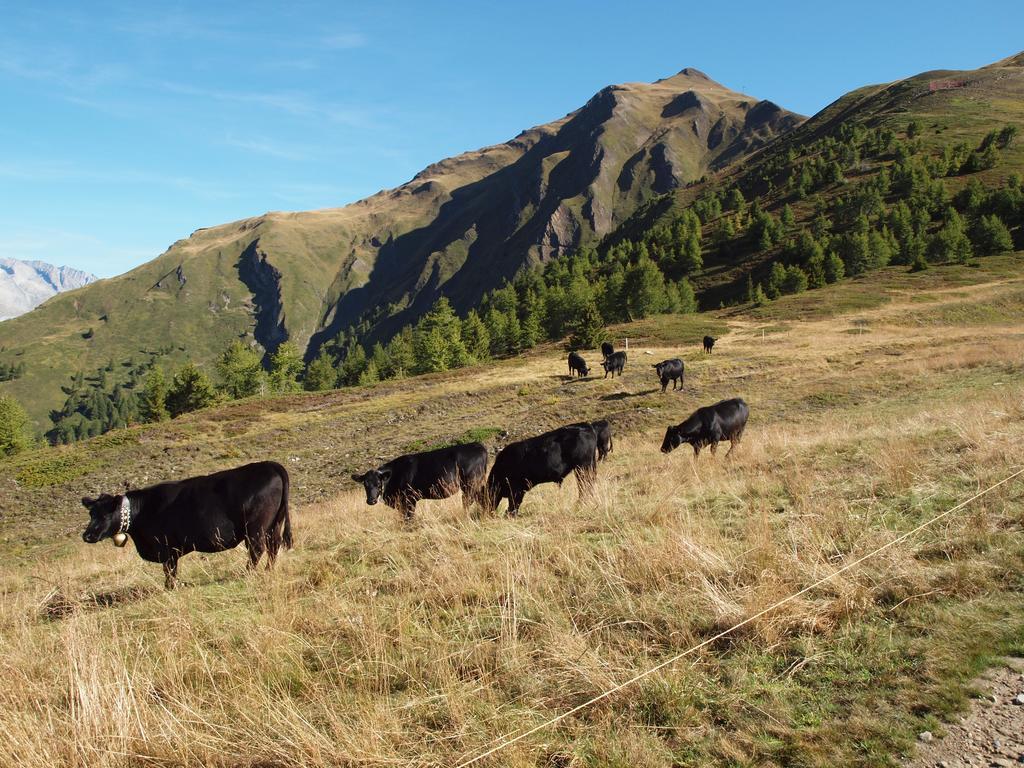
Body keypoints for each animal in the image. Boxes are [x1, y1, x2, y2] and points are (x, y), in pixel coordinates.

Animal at [80, 460, 292, 593]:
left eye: (105, 514)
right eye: (91, 513)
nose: (87, 536)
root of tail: (270, 465)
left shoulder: (167, 548)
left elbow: (169, 571)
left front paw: (169, 588)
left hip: (256, 528)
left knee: (257, 549)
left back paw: (247, 573)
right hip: (274, 524)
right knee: (273, 546)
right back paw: (268, 570)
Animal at [352, 442, 487, 520]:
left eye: (378, 483)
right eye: (365, 484)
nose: (371, 501)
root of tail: (477, 445)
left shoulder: (410, 499)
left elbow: (409, 518)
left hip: (470, 484)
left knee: (468, 502)